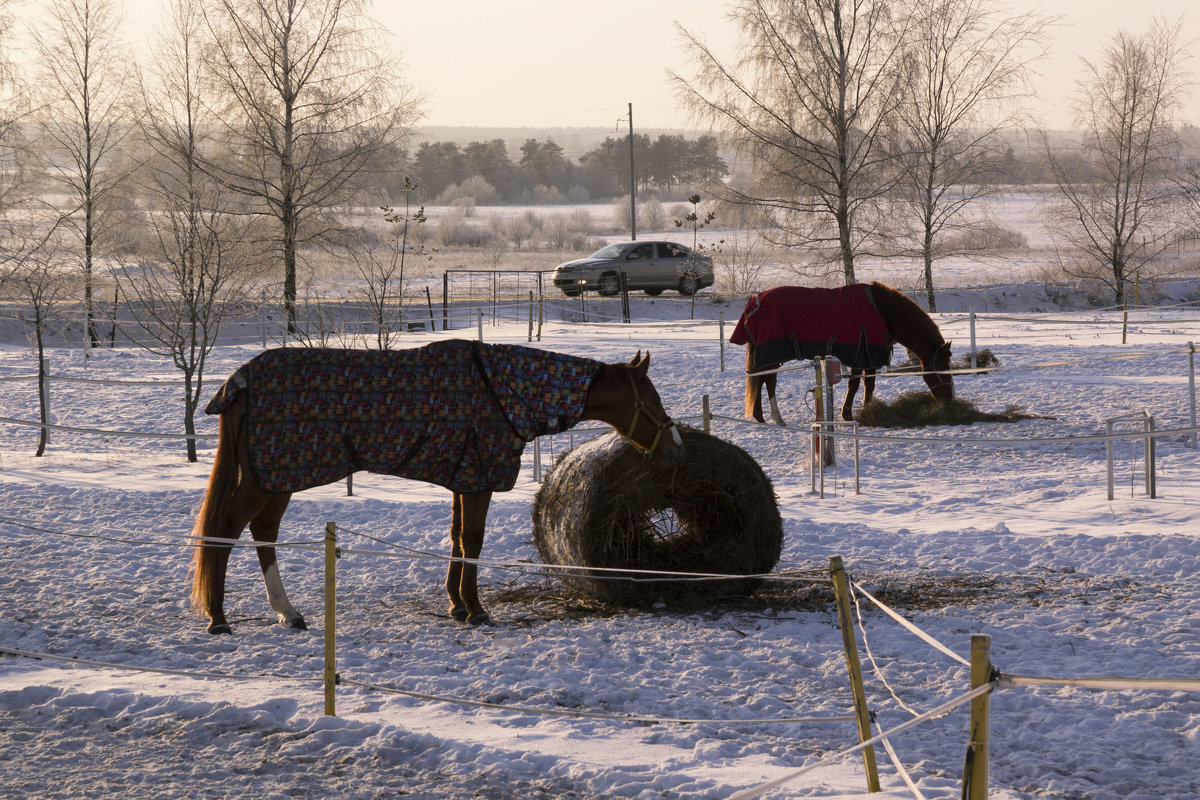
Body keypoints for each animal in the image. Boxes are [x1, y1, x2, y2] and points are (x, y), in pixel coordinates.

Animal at [190, 340, 681, 633]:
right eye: (651, 398)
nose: (674, 446)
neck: (501, 391)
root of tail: (241, 380)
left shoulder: (462, 479)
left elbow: (458, 537)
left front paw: (456, 605)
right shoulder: (479, 480)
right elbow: (474, 540)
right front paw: (476, 610)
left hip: (276, 479)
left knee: (263, 532)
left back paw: (287, 612)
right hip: (269, 478)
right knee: (228, 529)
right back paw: (219, 618)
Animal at [724, 283, 950, 424]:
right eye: (942, 365)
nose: (949, 399)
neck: (883, 312)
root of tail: (753, 303)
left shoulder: (870, 357)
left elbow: (869, 384)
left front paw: (868, 409)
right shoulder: (860, 355)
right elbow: (855, 384)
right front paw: (847, 414)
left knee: (761, 380)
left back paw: (761, 416)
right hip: (771, 355)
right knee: (768, 381)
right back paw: (775, 418)